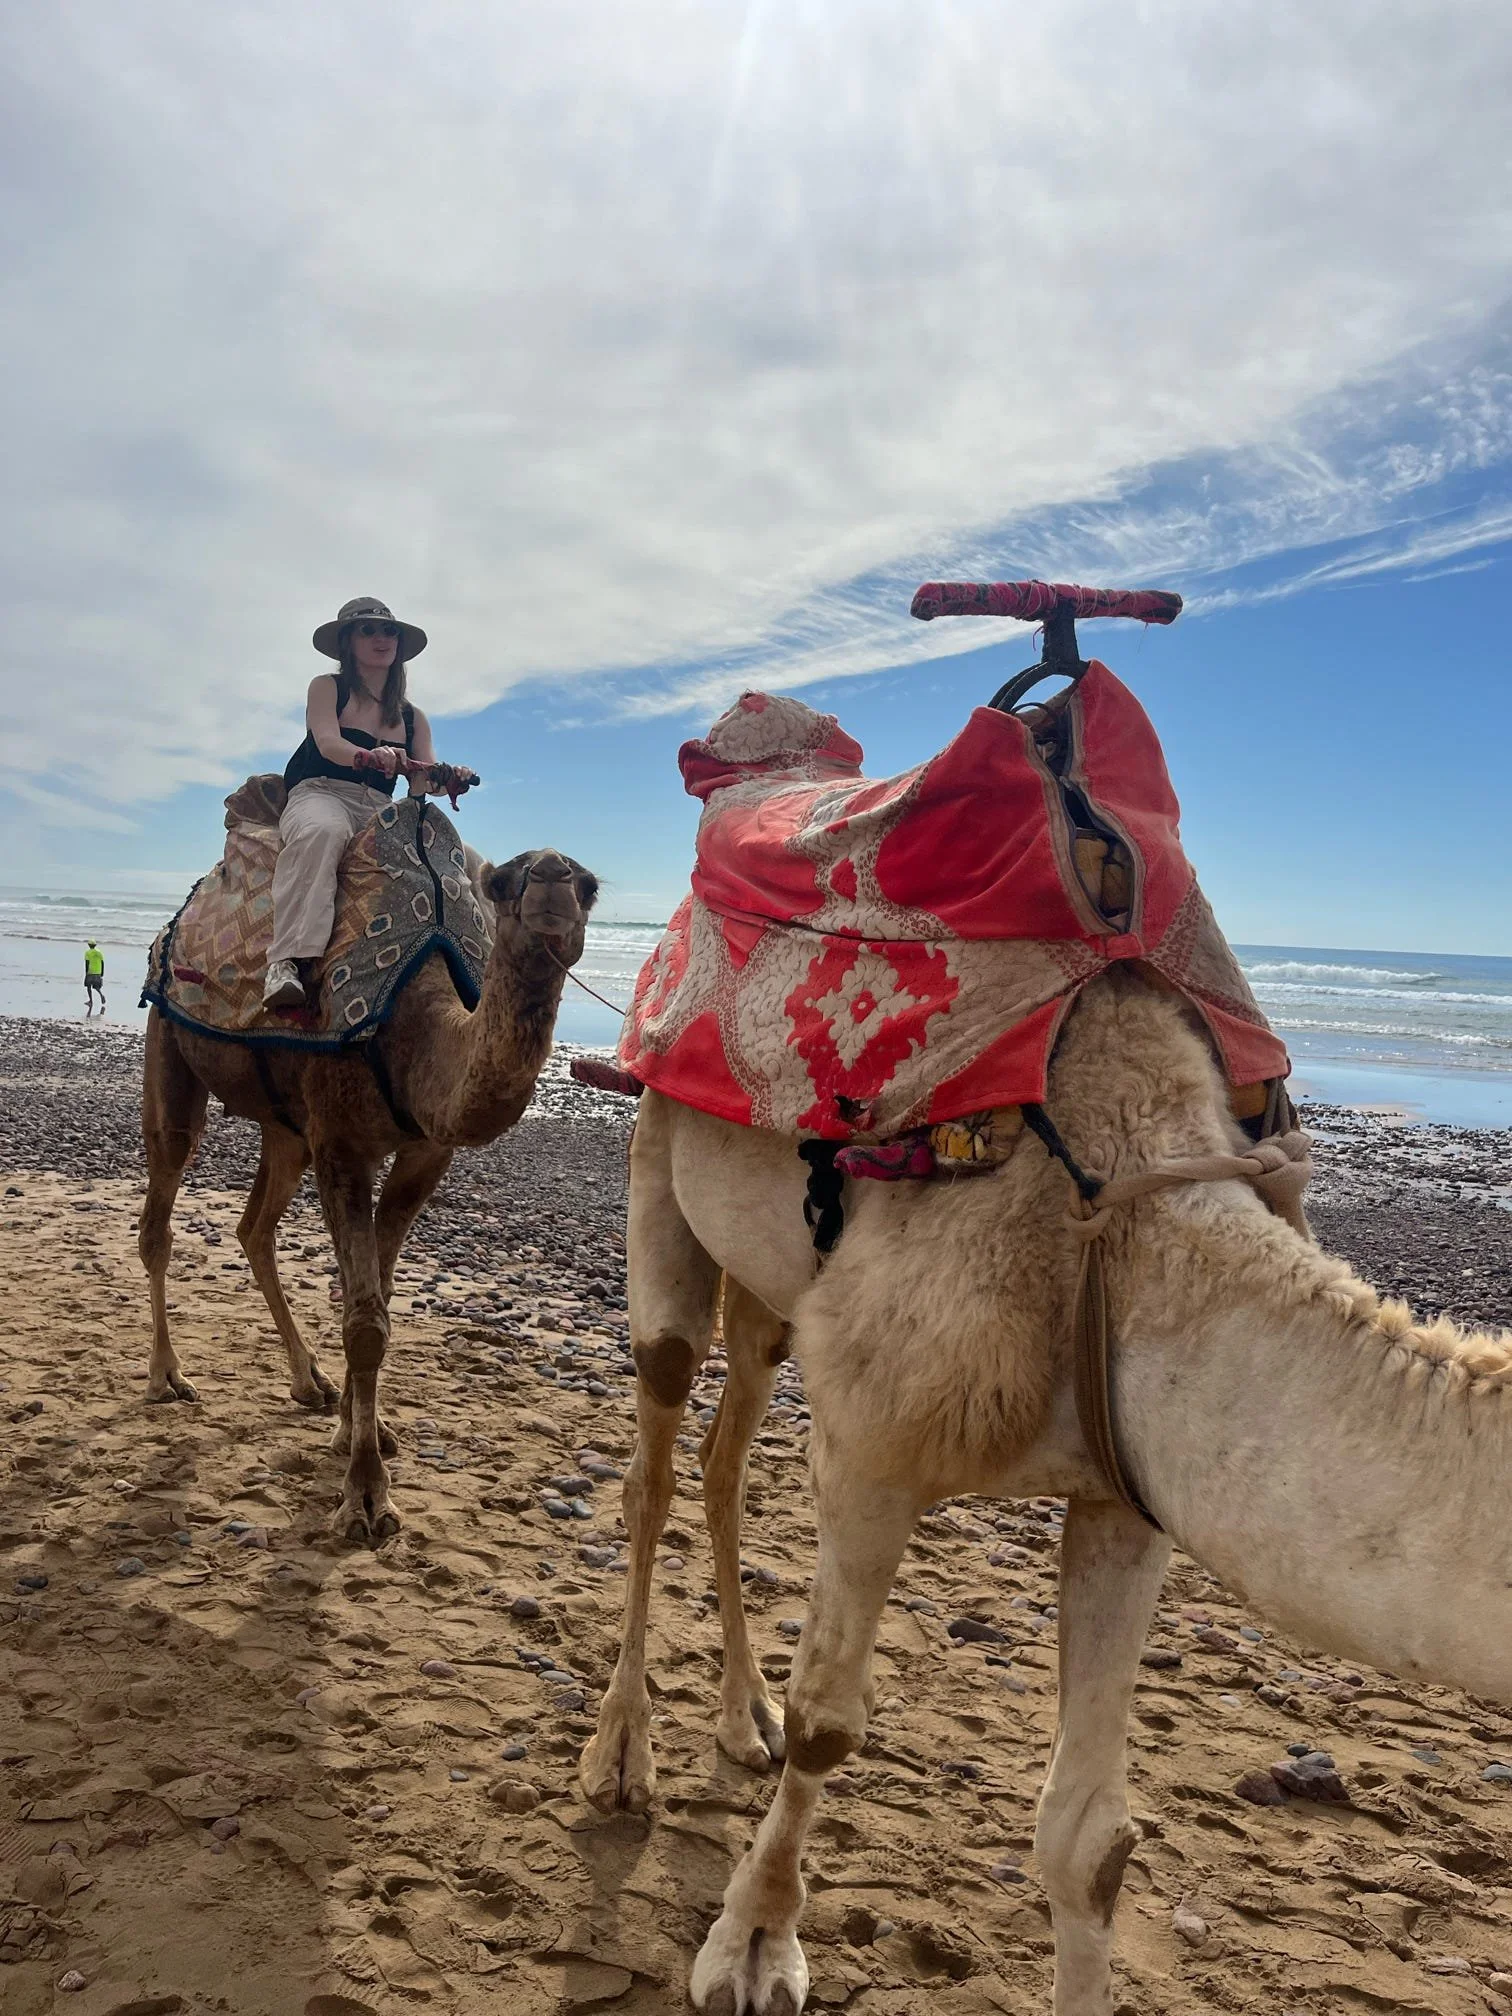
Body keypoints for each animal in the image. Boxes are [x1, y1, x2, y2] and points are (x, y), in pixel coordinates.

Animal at [139, 846, 597, 1544]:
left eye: (591, 886)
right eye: (501, 880)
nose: (552, 872)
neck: (419, 1032)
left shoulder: (424, 1153)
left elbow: (378, 1299)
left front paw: (366, 1428)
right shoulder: (341, 1142)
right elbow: (363, 1322)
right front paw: (364, 1496)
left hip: (286, 1127)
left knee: (254, 1227)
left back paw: (310, 1382)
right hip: (168, 1044)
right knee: (161, 1212)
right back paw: (168, 1375)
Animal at [579, 966, 1512, 2015]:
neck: (1130, 1235)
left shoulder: (1129, 1492)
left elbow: (1091, 1838)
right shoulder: (871, 1447)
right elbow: (826, 1722)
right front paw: (754, 1945)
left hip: (773, 1292)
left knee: (725, 1456)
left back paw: (745, 1720)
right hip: (660, 1162)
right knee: (655, 1456)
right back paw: (621, 1758)